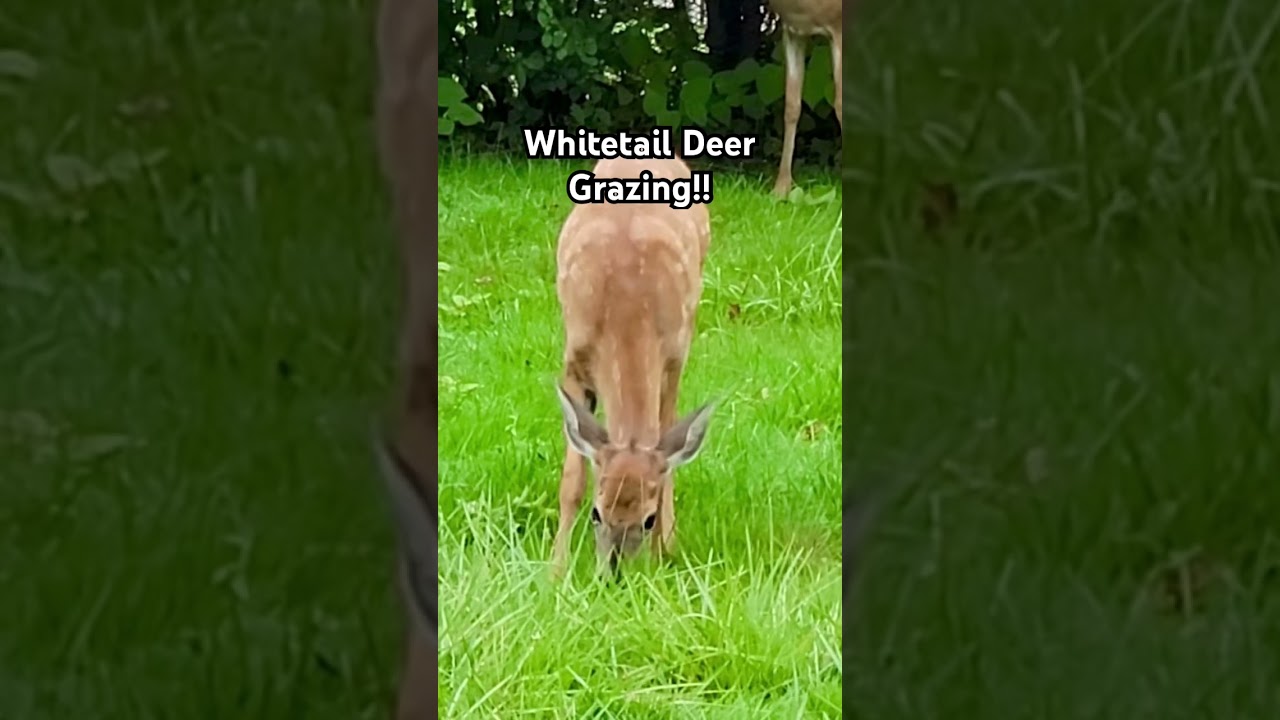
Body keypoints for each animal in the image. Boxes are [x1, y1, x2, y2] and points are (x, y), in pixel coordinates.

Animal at [550, 156, 718, 580]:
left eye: (646, 518)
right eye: (597, 514)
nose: (613, 577)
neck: (627, 310)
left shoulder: (673, 357)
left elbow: (668, 461)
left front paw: (665, 549)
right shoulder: (573, 358)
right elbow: (572, 481)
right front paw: (555, 570)